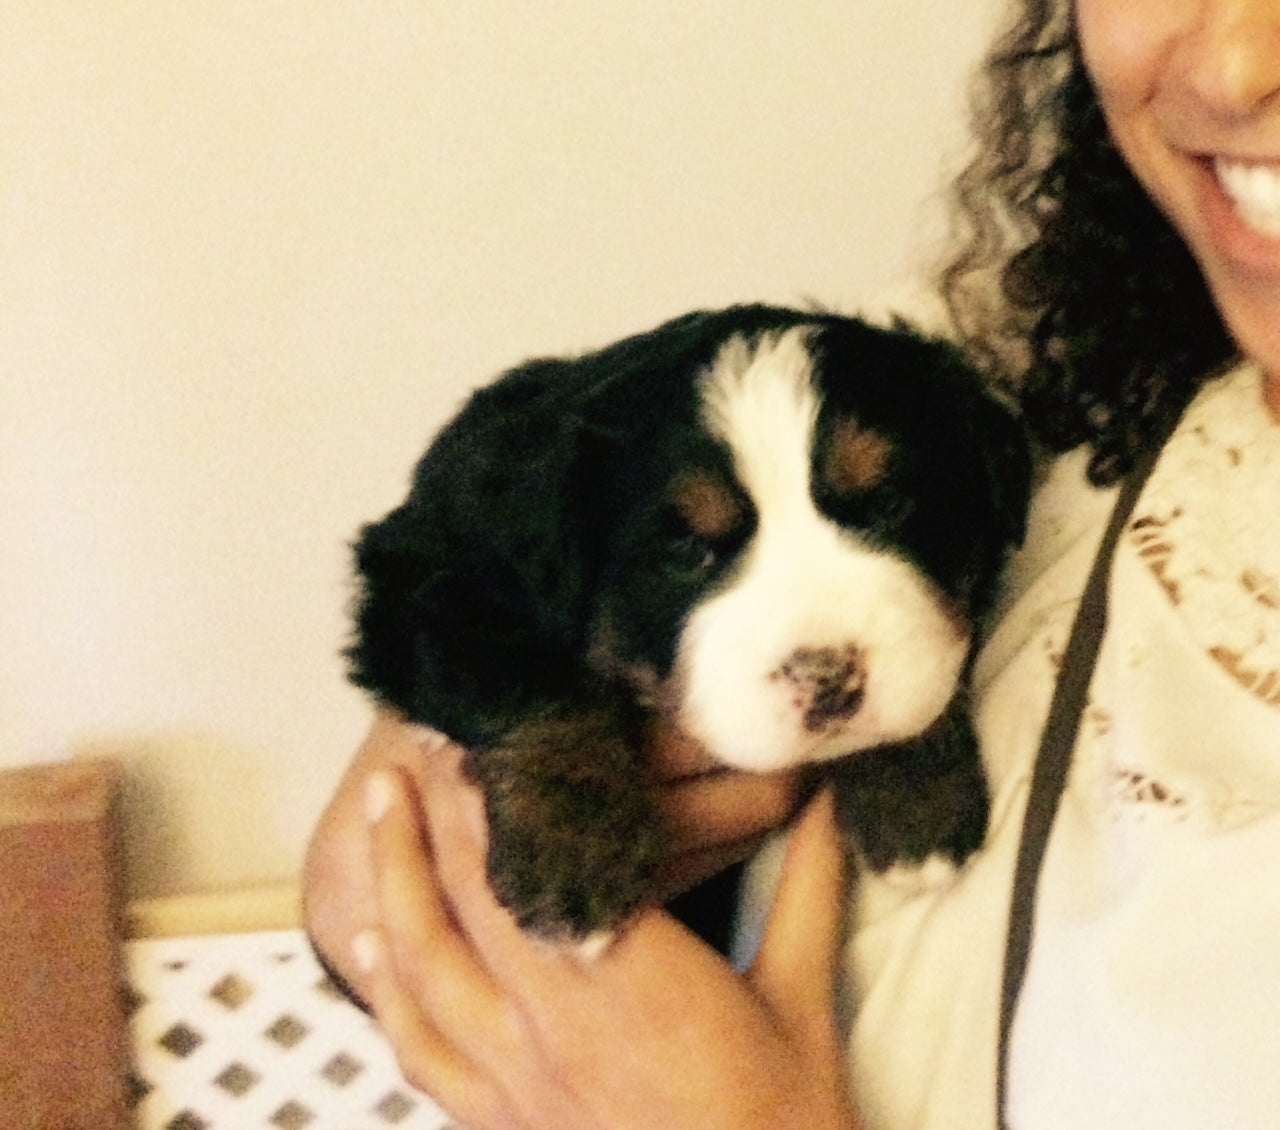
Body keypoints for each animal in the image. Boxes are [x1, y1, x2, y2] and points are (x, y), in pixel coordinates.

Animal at [350, 303, 1029, 946]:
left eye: (890, 506)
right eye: (685, 552)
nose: (829, 678)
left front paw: (915, 793)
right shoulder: (423, 578)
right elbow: (533, 678)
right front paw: (574, 851)